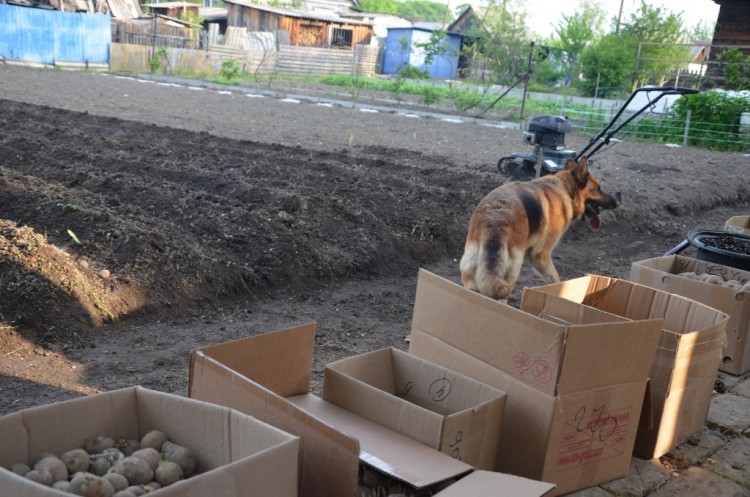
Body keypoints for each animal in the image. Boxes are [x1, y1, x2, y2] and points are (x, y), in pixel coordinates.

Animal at [462, 157, 620, 300]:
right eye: (598, 189)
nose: (617, 203)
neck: (565, 189)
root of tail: (494, 220)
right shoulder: (541, 255)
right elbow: (555, 279)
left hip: (470, 271)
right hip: (512, 272)